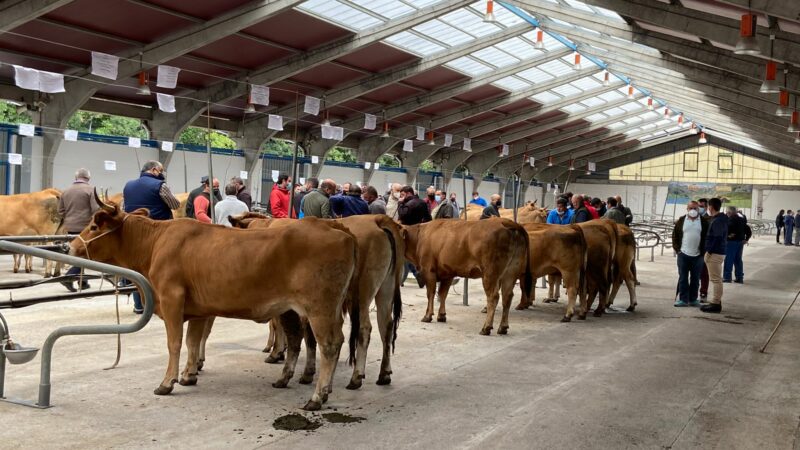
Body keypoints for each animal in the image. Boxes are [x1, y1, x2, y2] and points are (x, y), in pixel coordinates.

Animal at [72, 195, 360, 410]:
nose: (71, 247)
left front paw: (168, 382)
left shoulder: (171, 299)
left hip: (320, 308)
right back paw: (297, 382)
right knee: (302, 339)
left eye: (95, 226)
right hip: (293, 309)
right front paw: (189, 375)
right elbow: (192, 341)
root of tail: (332, 226)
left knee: (330, 345)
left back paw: (318, 396)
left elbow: (175, 343)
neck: (155, 243)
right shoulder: (199, 310)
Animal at [231, 213, 406, 388]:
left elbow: (285, 328)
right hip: (386, 289)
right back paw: (384, 374)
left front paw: (278, 354)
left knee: (365, 329)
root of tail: (376, 219)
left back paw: (356, 378)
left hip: (361, 295)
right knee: (386, 326)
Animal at [400, 218, 532, 334]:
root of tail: (506, 221)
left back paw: (486, 328)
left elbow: (431, 294)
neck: (420, 236)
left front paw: (428, 316)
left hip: (490, 274)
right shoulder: (448, 273)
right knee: (507, 297)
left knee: (493, 297)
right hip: (510, 272)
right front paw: (441, 316)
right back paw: (503, 327)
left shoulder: (429, 271)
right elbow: (442, 294)